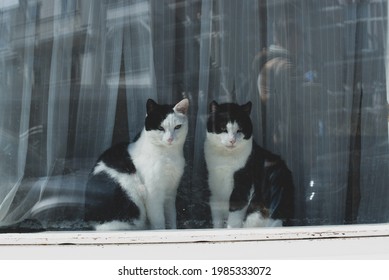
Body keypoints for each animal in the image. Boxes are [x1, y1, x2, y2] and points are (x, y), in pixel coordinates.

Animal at [84, 98, 189, 230]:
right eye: (160, 128)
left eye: (177, 127)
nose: (170, 139)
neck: (169, 155)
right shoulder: (153, 194)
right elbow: (159, 221)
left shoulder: (170, 193)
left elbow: (171, 216)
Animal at [205, 100, 292, 228]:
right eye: (223, 128)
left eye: (240, 129)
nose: (232, 140)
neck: (225, 158)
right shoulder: (214, 192)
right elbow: (217, 220)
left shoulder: (242, 187)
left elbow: (234, 217)